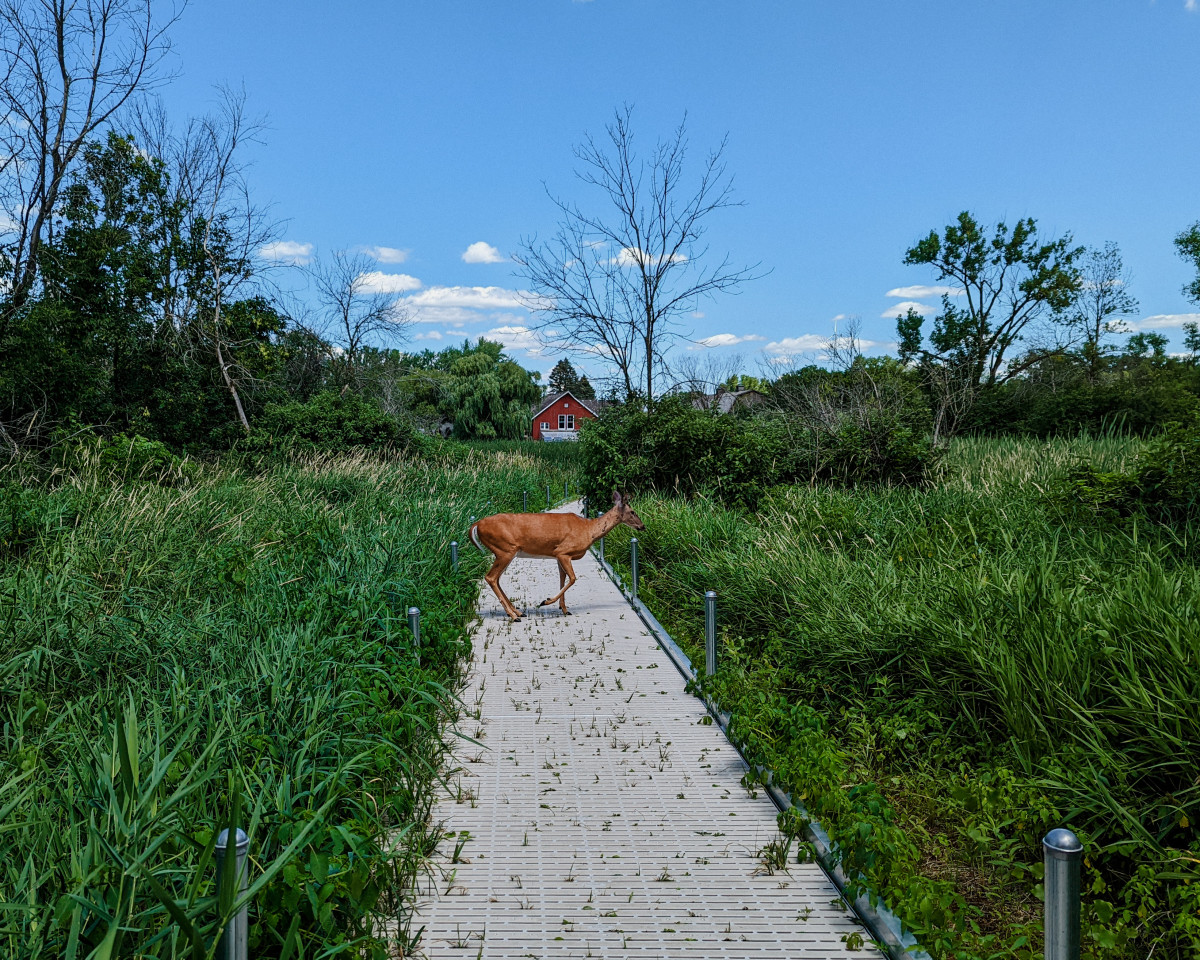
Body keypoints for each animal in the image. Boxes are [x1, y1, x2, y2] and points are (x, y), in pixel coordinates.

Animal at [469, 489, 645, 620]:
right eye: (632, 511)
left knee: (496, 578)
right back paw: (514, 615)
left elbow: (562, 578)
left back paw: (518, 612)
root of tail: (477, 524)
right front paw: (546, 602)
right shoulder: (563, 551)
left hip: (505, 552)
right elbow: (572, 578)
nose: (642, 526)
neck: (589, 530)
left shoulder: (558, 555)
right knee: (491, 577)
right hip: (505, 549)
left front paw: (564, 608)